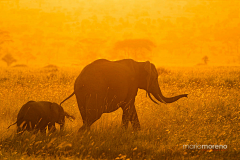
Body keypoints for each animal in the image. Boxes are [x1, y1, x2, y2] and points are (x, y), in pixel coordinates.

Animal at [60, 59, 188, 132]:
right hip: (95, 91)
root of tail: (80, 81)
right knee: (94, 115)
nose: (187, 95)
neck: (139, 63)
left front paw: (137, 132)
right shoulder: (132, 84)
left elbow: (130, 109)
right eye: (155, 78)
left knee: (85, 116)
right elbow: (128, 107)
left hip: (81, 95)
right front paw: (125, 132)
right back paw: (82, 133)